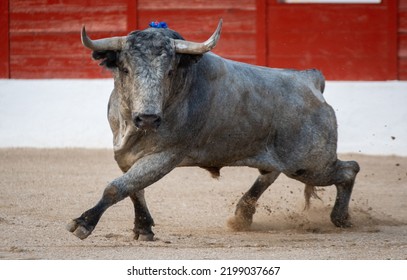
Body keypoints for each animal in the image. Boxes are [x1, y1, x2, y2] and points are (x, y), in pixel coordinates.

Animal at [67, 19, 360, 241]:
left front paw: (84, 223)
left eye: (170, 71)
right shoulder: (124, 153)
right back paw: (242, 215)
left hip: (309, 164)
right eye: (125, 69)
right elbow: (133, 189)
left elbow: (118, 187)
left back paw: (341, 218)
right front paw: (143, 228)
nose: (148, 118)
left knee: (350, 169)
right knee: (270, 173)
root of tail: (309, 79)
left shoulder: (165, 155)